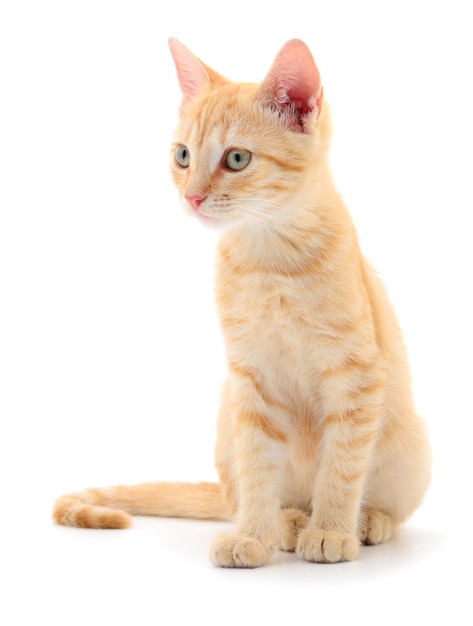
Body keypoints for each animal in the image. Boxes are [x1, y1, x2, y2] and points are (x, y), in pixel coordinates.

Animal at [53, 37, 430, 564]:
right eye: (183, 156)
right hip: (225, 418)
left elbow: (342, 463)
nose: (191, 197)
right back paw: (287, 520)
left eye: (236, 159)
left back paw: (364, 520)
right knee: (246, 493)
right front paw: (254, 534)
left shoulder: (356, 374)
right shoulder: (250, 378)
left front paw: (332, 530)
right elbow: (257, 465)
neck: (268, 260)